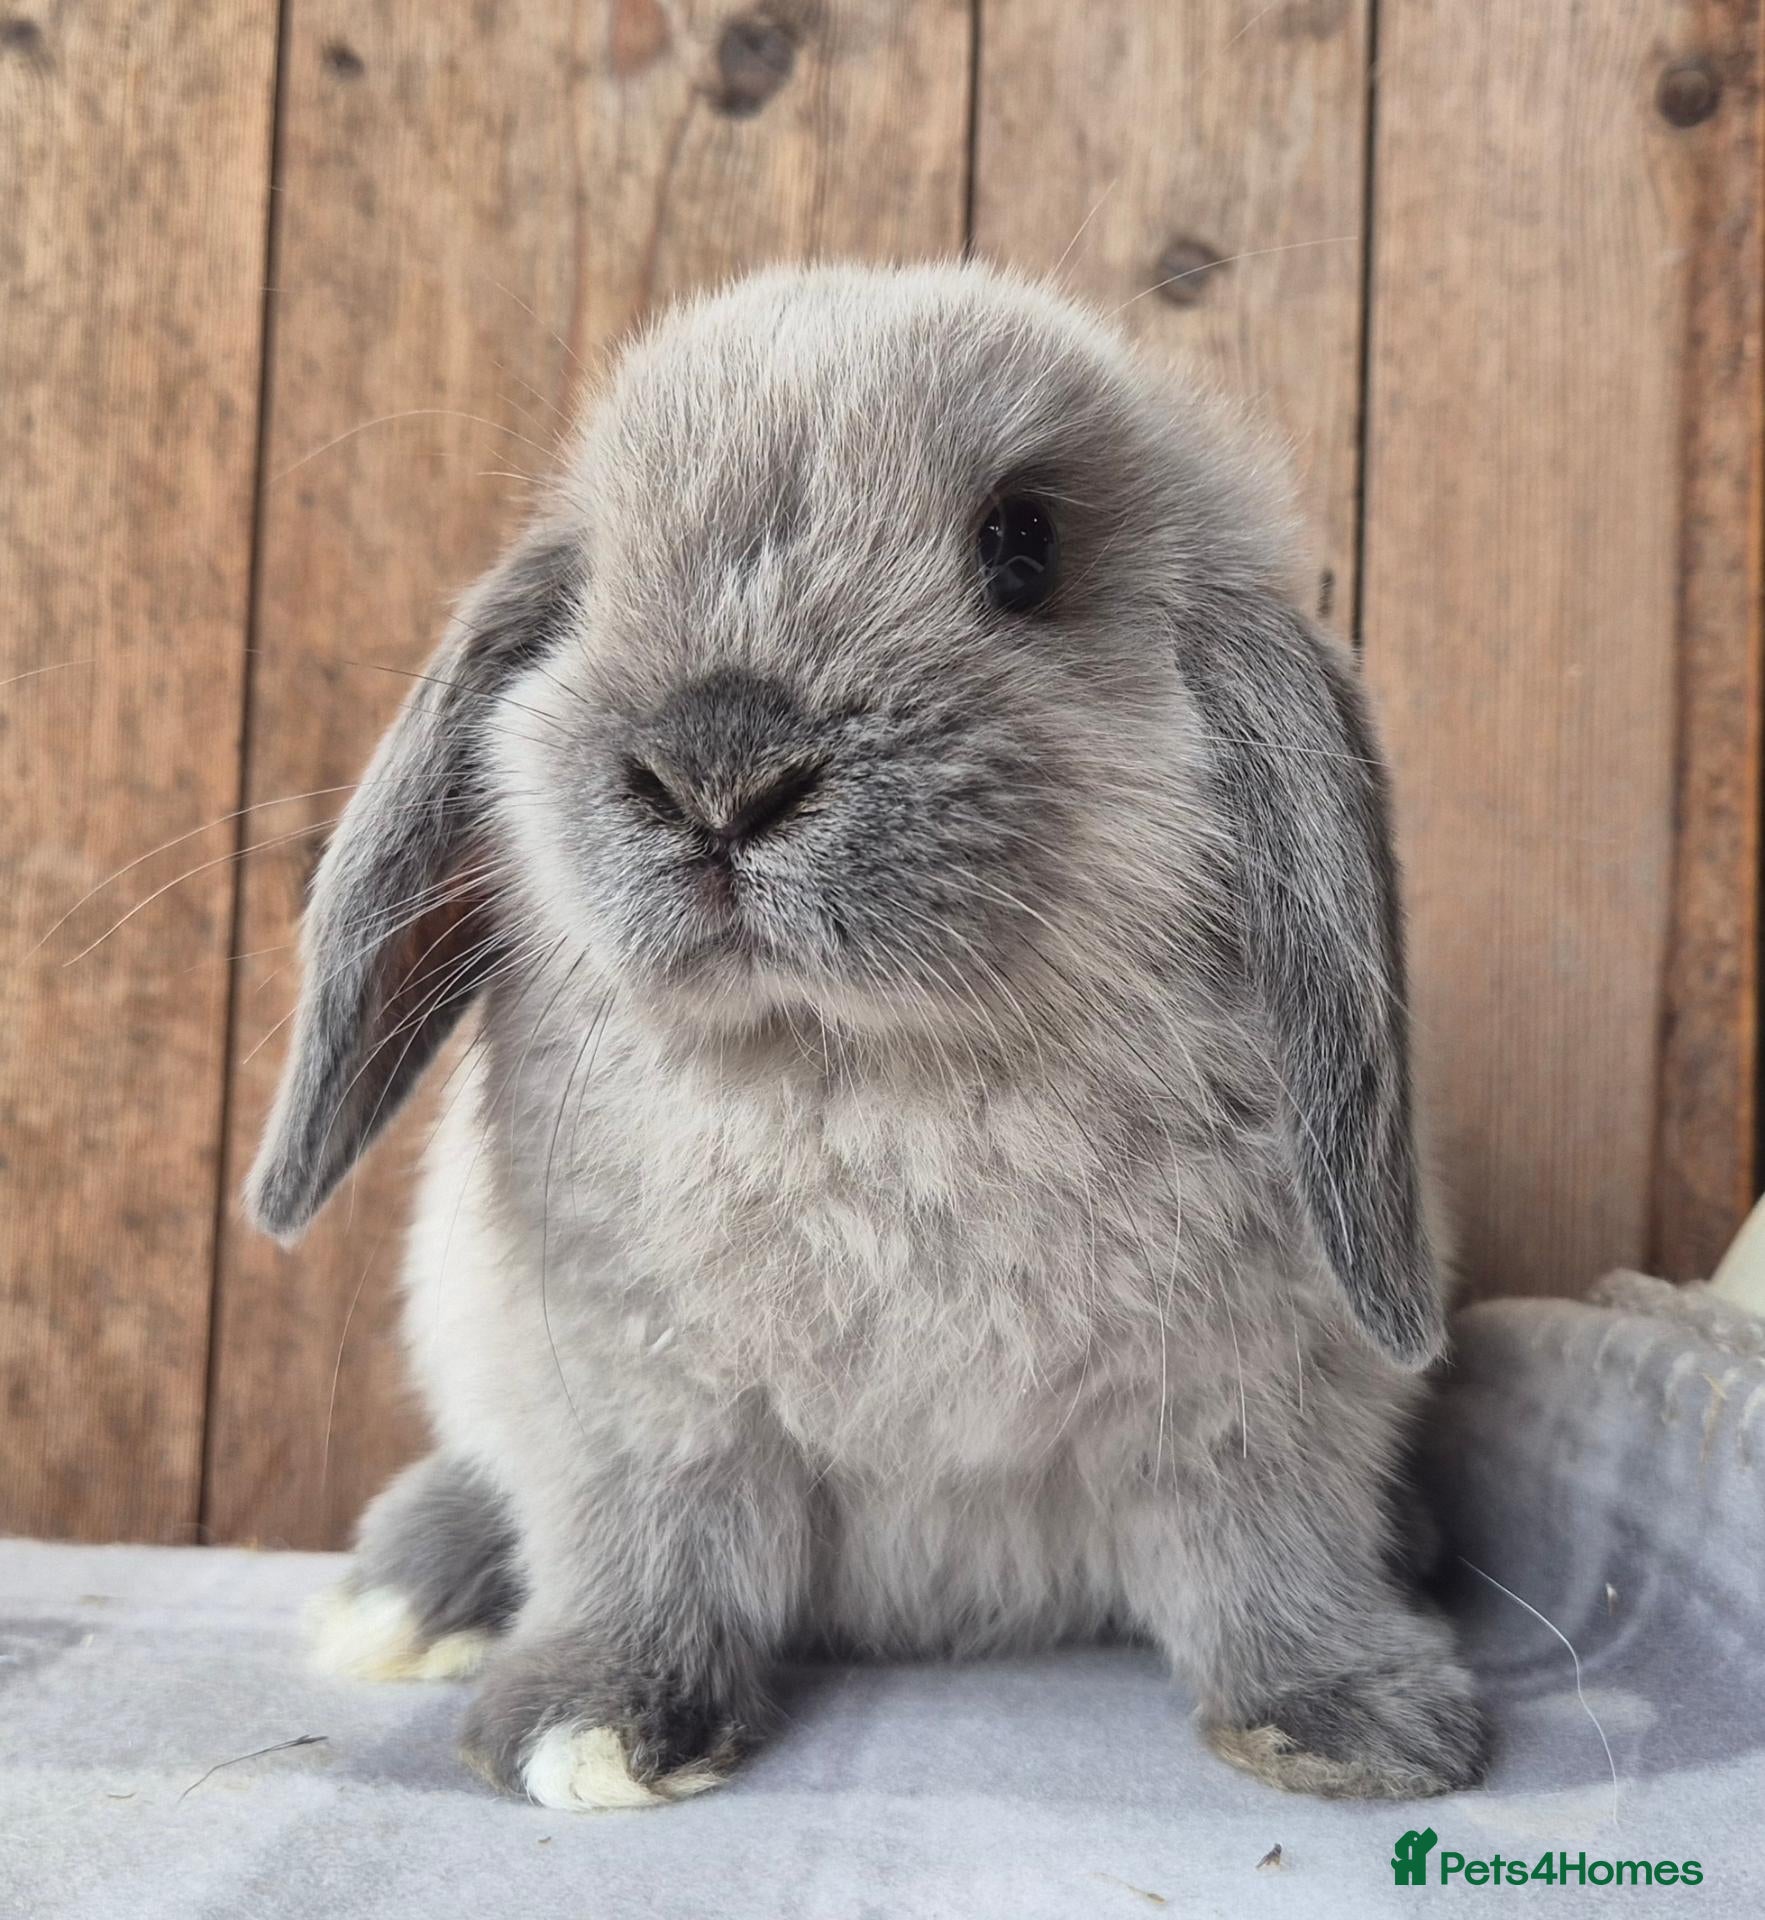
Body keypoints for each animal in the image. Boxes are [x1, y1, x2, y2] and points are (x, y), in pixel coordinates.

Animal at [250, 260, 1488, 1810]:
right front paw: (590, 1723)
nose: (717, 765)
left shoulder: (1253, 1410)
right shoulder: (645, 1409)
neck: (866, 1064)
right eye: (588, 583)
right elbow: (646, 1546)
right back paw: (412, 1591)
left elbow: (1264, 1557)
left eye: (1022, 549)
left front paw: (1354, 1720)